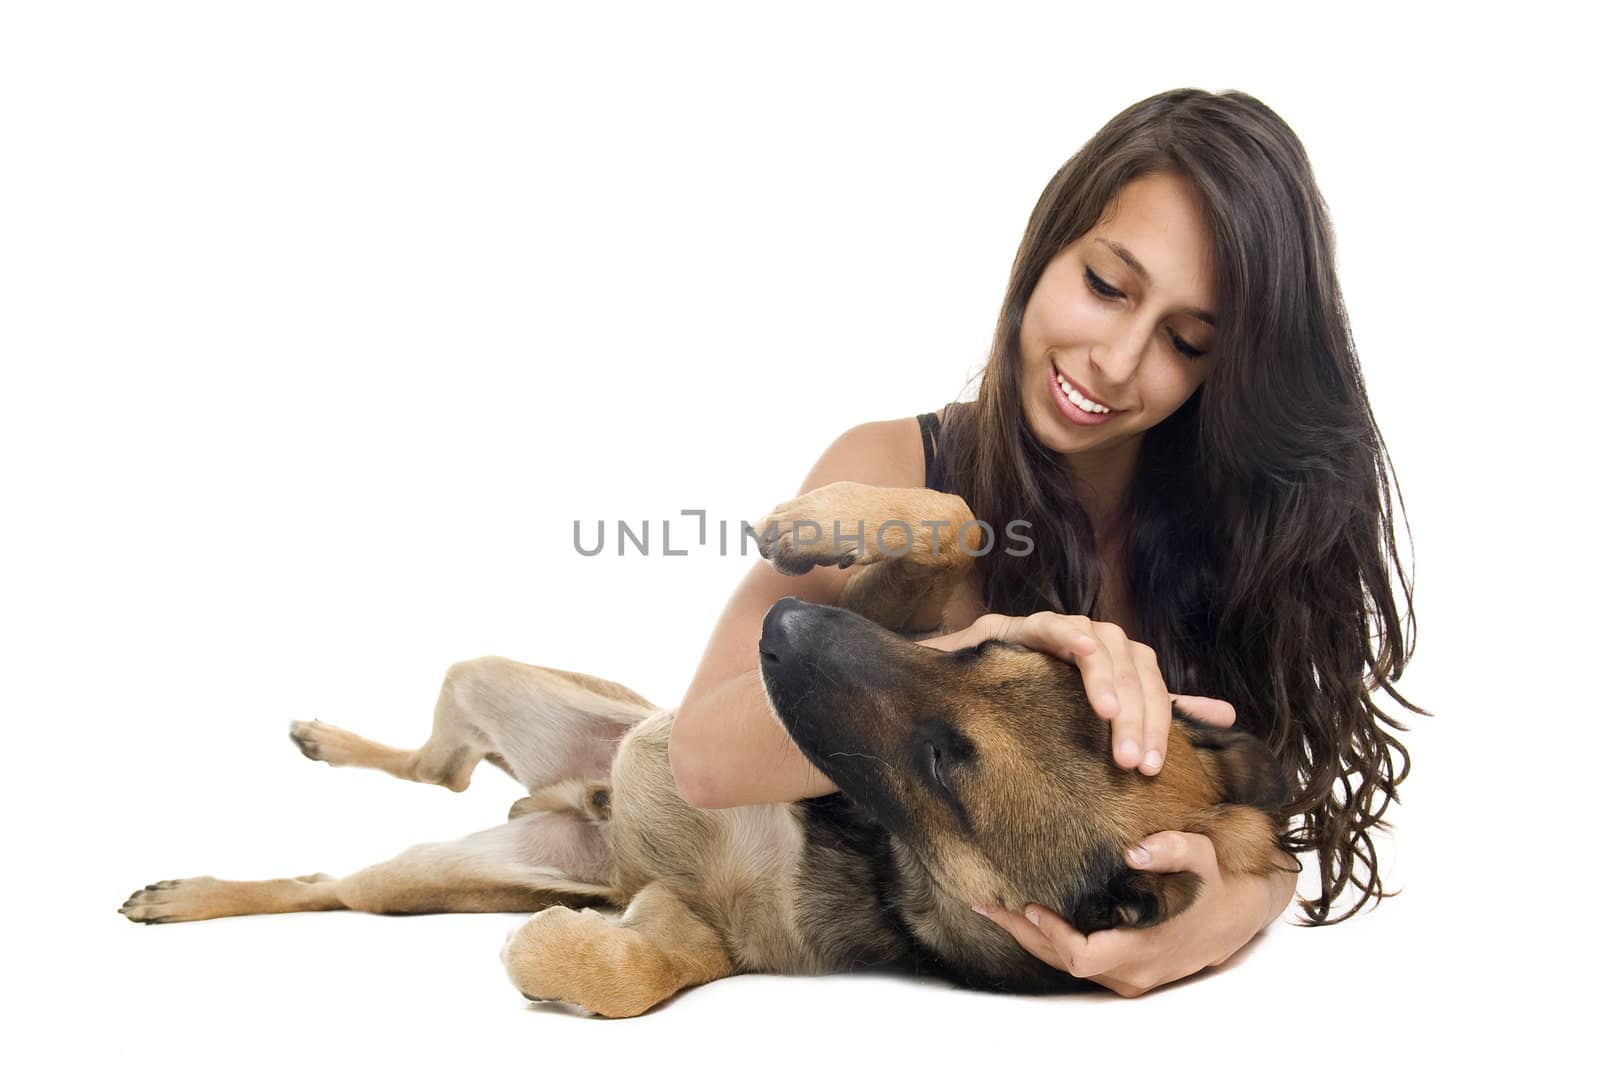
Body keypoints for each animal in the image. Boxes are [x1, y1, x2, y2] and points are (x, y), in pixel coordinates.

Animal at [118, 483, 1292, 1017]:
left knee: (339, 876)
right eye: (990, 643)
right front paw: (822, 519)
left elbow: (641, 971)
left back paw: (191, 891)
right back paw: (314, 751)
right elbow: (952, 517)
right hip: (492, 681)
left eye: (945, 762)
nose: (783, 626)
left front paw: (557, 956)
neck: (873, 852)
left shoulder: (697, 929)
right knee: (429, 763)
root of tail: (569, 802)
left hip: (428, 871)